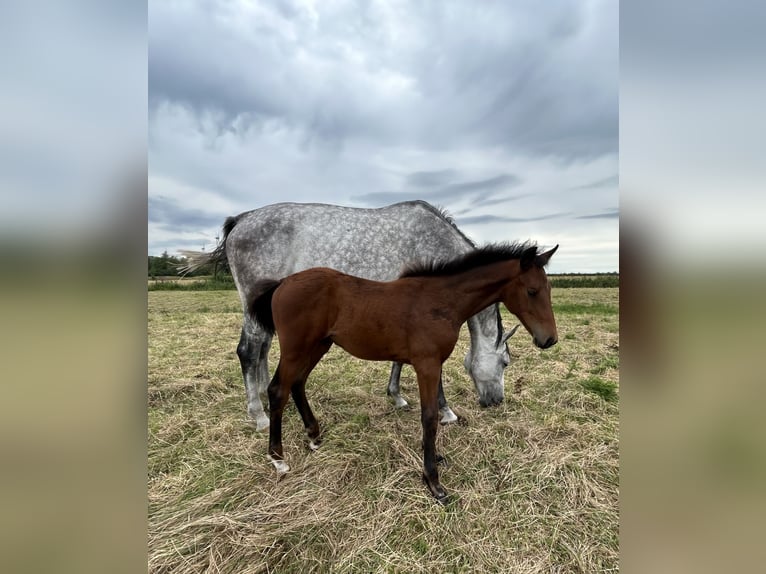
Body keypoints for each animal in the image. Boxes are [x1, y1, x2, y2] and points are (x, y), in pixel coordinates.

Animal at [182, 201, 520, 430]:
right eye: (505, 362)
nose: (496, 402)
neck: (436, 243)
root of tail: (241, 219)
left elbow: (399, 358)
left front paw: (396, 396)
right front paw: (446, 411)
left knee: (262, 351)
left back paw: (269, 399)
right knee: (248, 351)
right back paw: (259, 415)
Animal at [249, 241, 559, 504]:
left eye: (549, 289)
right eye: (532, 291)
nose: (549, 340)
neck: (442, 301)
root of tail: (282, 283)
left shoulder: (435, 363)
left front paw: (435, 457)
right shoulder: (427, 364)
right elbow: (429, 416)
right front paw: (433, 482)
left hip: (319, 345)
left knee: (298, 383)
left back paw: (313, 436)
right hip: (296, 348)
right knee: (278, 390)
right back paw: (278, 459)